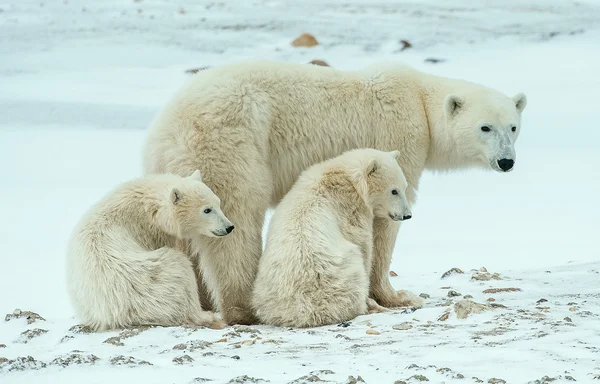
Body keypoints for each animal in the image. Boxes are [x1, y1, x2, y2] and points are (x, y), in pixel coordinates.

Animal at [66, 170, 232, 332]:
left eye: (218, 203)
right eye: (207, 210)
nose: (229, 227)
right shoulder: (147, 231)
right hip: (154, 280)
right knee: (180, 269)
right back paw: (207, 316)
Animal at [251, 149, 420, 328]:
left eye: (404, 187)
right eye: (394, 191)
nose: (407, 215)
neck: (345, 176)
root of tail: (306, 311)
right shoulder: (350, 209)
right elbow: (362, 244)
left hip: (264, 292)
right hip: (340, 274)